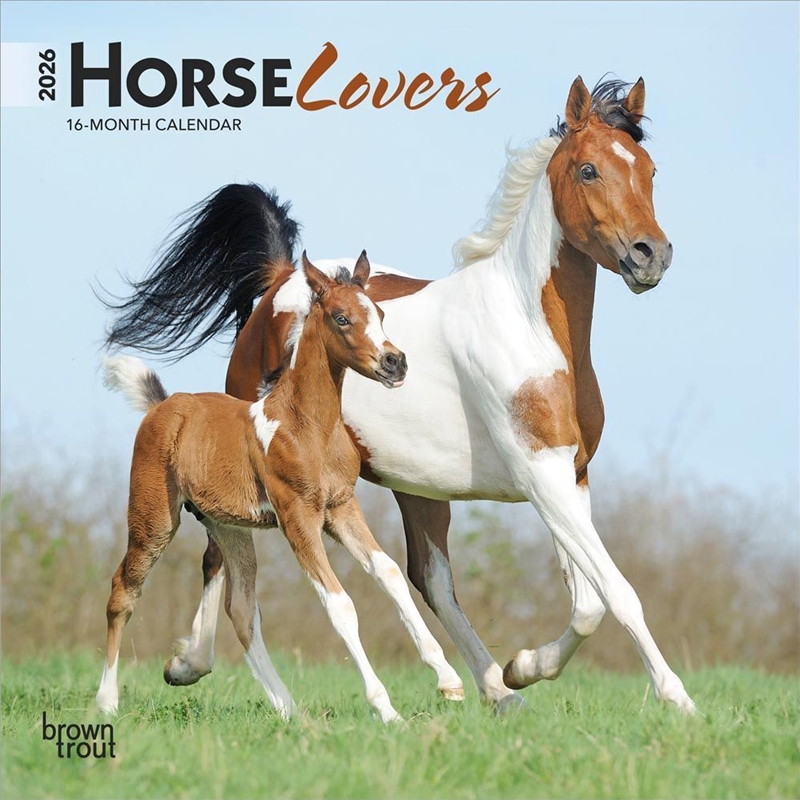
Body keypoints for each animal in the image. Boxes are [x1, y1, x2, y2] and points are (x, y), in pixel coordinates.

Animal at [96, 252, 464, 722]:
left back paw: (290, 710)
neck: (306, 426)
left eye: (379, 314)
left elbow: (390, 572)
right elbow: (339, 604)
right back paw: (106, 702)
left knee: (241, 609)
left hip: (229, 527)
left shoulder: (341, 508)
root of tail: (163, 405)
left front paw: (449, 680)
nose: (394, 363)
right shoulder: (297, 517)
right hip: (154, 516)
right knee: (123, 590)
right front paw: (387, 710)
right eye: (342, 318)